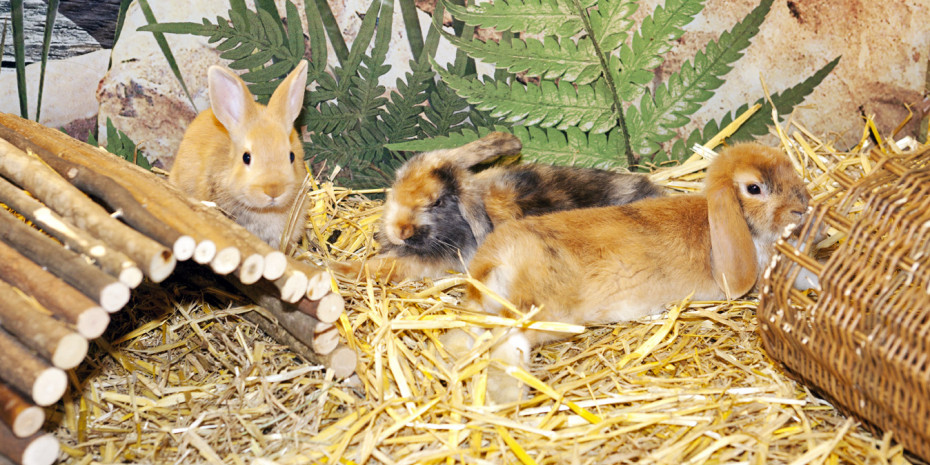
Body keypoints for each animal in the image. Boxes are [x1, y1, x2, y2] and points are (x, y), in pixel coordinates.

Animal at [452, 143, 812, 404]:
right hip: (543, 313)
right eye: (754, 188)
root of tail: (491, 262)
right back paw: (506, 397)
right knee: (508, 342)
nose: (803, 207)